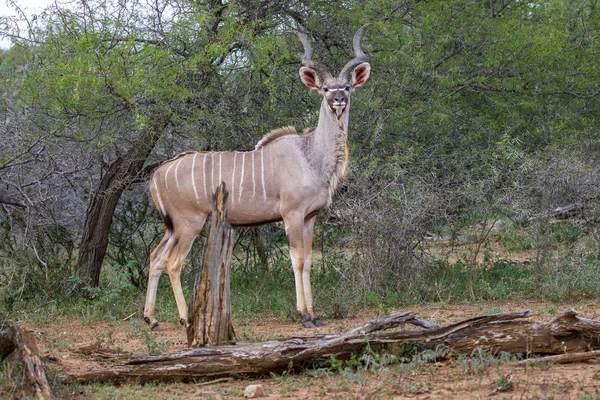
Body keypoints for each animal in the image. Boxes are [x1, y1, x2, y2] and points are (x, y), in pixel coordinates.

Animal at [145, 26, 370, 330]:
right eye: (325, 88)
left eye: (346, 87)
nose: (338, 100)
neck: (311, 155)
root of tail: (156, 174)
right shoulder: (292, 215)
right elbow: (297, 260)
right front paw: (304, 316)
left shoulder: (309, 218)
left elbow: (309, 261)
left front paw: (315, 315)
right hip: (189, 223)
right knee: (172, 262)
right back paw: (184, 317)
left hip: (172, 227)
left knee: (155, 258)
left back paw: (151, 318)